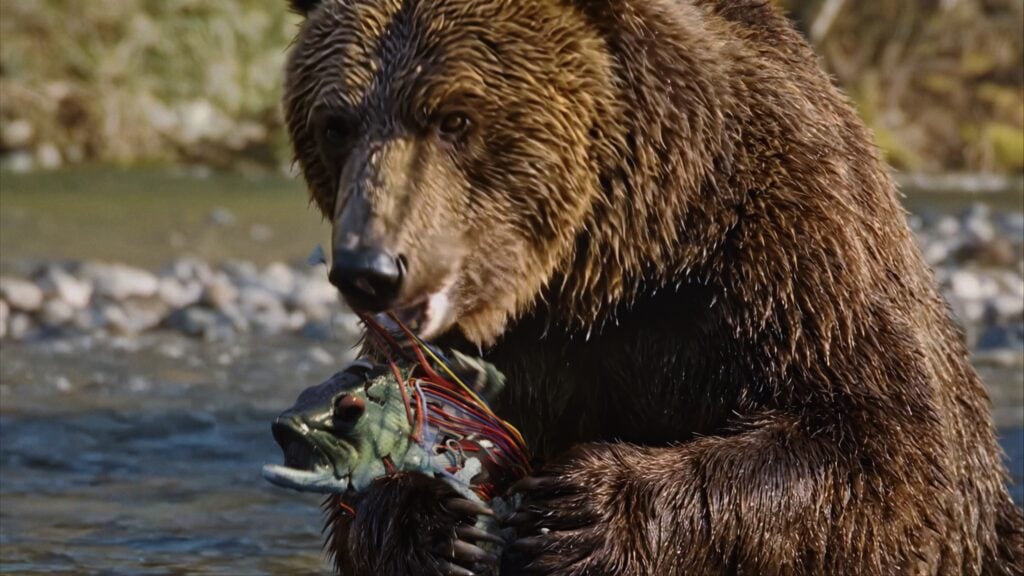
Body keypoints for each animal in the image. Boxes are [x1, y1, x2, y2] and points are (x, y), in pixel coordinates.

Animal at [281, 0, 1024, 574]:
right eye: (336, 124)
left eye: (454, 118)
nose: (370, 269)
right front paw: (440, 521)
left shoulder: (785, 249)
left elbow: (880, 453)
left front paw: (580, 510)